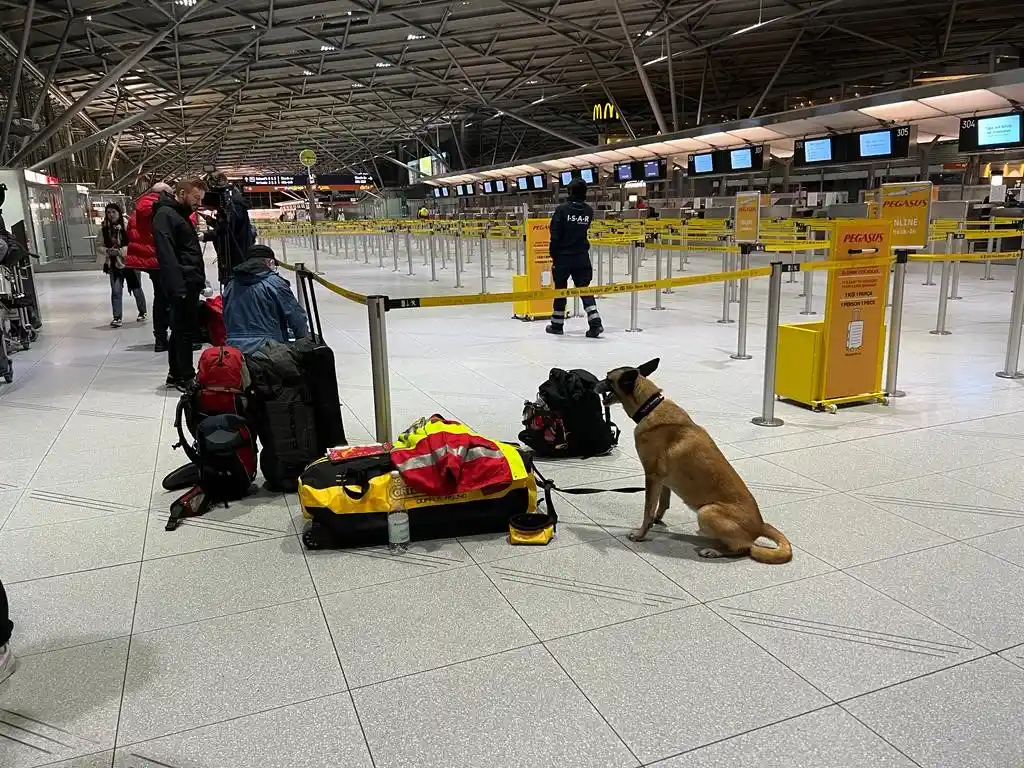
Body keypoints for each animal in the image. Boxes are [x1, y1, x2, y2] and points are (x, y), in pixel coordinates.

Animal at [598, 360, 790, 565]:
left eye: (608, 379)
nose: (593, 384)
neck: (650, 406)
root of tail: (760, 525)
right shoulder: (663, 480)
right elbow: (662, 503)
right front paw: (657, 520)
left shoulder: (652, 476)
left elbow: (647, 510)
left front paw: (641, 534)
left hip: (706, 512)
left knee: (745, 548)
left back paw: (714, 551)